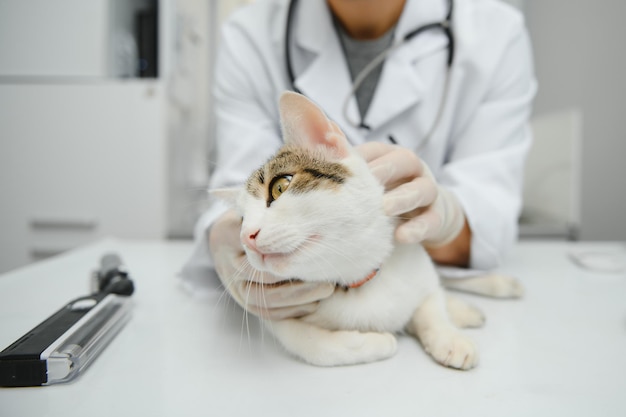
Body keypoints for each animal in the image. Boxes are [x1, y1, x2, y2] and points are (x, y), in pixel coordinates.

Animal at [212, 91, 520, 368]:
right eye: (241, 219)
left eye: (280, 186)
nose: (246, 237)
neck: (356, 277)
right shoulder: (276, 314)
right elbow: (312, 346)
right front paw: (376, 342)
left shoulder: (416, 263)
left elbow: (431, 304)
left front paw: (448, 337)